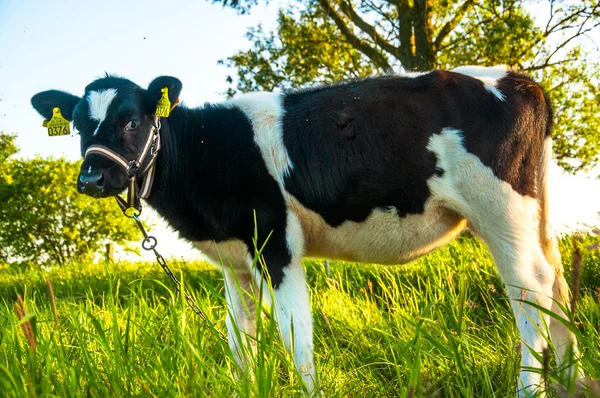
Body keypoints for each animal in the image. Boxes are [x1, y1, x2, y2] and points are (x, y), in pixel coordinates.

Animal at [31, 67, 580, 396]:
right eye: (78, 124)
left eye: (130, 121)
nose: (92, 178)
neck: (207, 151)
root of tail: (520, 80)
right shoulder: (236, 260)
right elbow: (241, 338)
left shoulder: (276, 245)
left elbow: (294, 334)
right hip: (536, 214)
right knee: (558, 286)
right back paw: (572, 379)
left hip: (501, 211)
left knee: (530, 292)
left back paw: (531, 387)